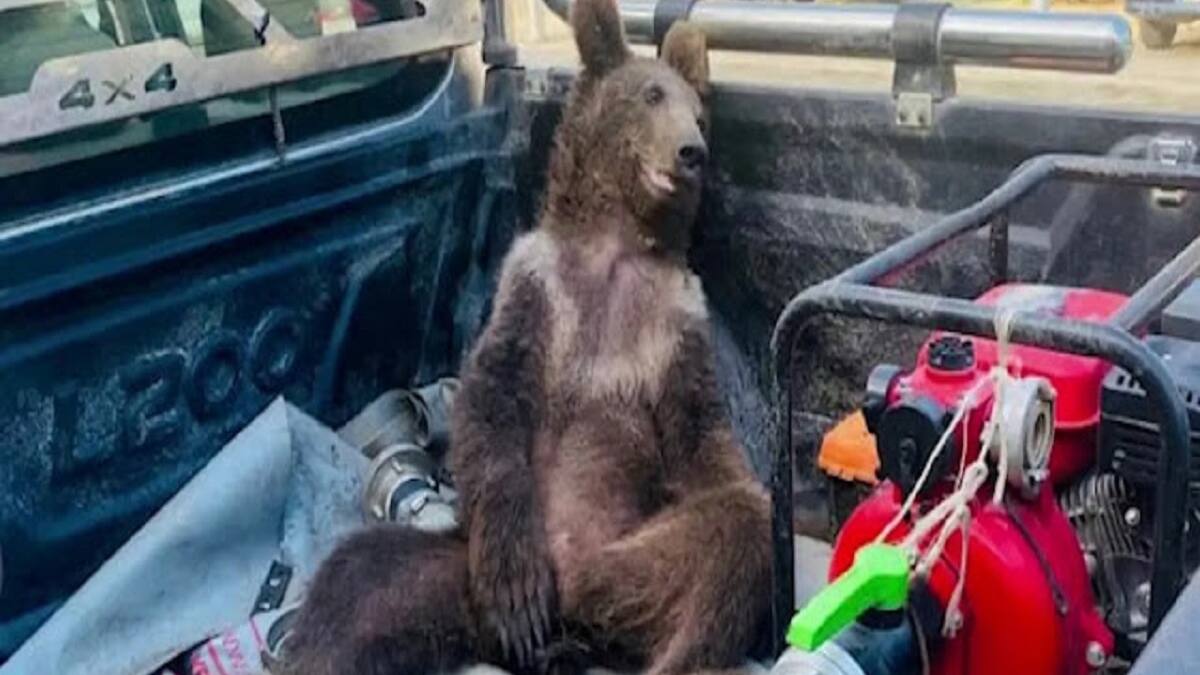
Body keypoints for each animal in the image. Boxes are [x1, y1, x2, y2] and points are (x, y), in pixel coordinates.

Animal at [277, 0, 773, 673]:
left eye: (699, 114)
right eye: (651, 94)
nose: (691, 151)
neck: (616, 247)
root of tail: (577, 614)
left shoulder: (676, 323)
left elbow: (703, 437)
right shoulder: (534, 288)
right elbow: (493, 404)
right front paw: (518, 589)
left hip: (632, 556)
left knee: (727, 547)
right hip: (453, 570)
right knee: (354, 586)